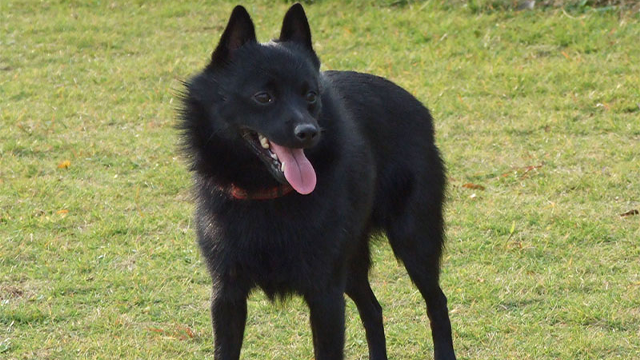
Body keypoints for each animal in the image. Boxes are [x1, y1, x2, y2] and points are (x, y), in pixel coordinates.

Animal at [180, 3, 456, 360]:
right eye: (263, 96)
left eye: (310, 95)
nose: (309, 132)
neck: (266, 195)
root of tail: (420, 107)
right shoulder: (227, 296)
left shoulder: (325, 295)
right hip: (352, 263)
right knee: (373, 309)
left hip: (414, 241)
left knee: (437, 302)